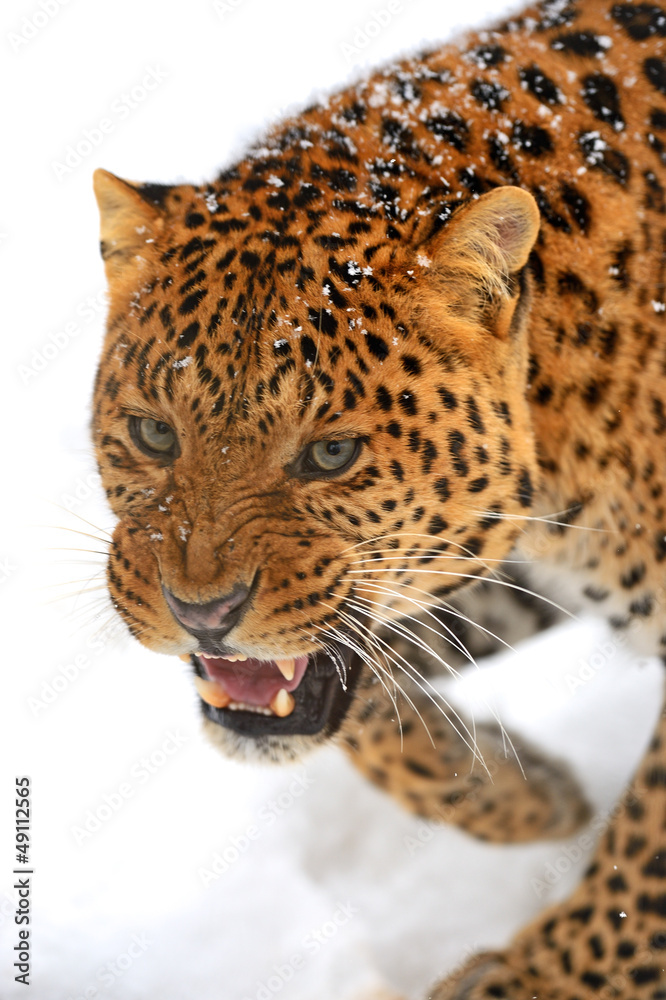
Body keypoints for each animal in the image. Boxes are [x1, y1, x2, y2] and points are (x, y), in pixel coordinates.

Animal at [90, 0, 666, 996]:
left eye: (331, 454)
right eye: (156, 434)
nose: (200, 614)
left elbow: (648, 848)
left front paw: (540, 981)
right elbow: (364, 701)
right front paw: (527, 791)